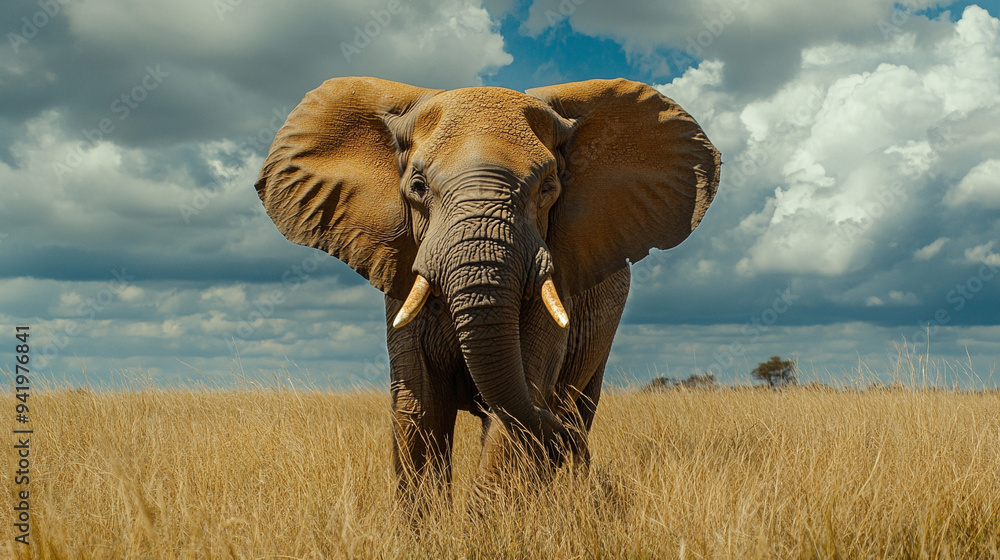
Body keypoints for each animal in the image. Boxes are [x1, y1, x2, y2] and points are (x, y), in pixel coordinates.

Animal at [254, 76, 720, 504]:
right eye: (418, 186)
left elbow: (521, 395)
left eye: (547, 188)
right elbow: (419, 407)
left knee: (576, 408)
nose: (559, 436)